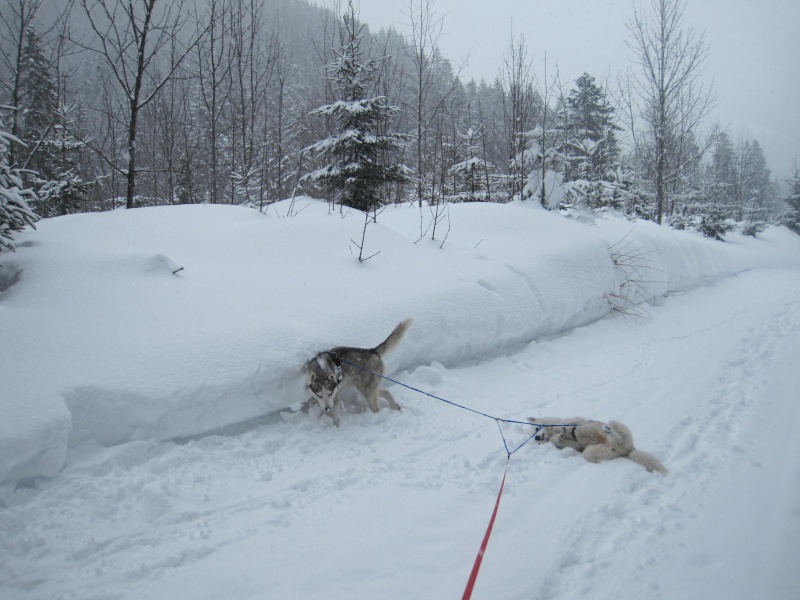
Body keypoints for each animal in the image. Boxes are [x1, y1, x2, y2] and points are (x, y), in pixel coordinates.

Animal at [528, 414, 664, 476]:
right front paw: (557, 438)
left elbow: (567, 427)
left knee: (615, 433)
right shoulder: (575, 445)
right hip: (592, 452)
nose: (536, 437)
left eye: (536, 429)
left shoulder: (572, 424)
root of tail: (628, 452)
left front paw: (563, 431)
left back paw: (607, 429)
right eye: (535, 439)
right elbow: (557, 440)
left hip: (615, 424)